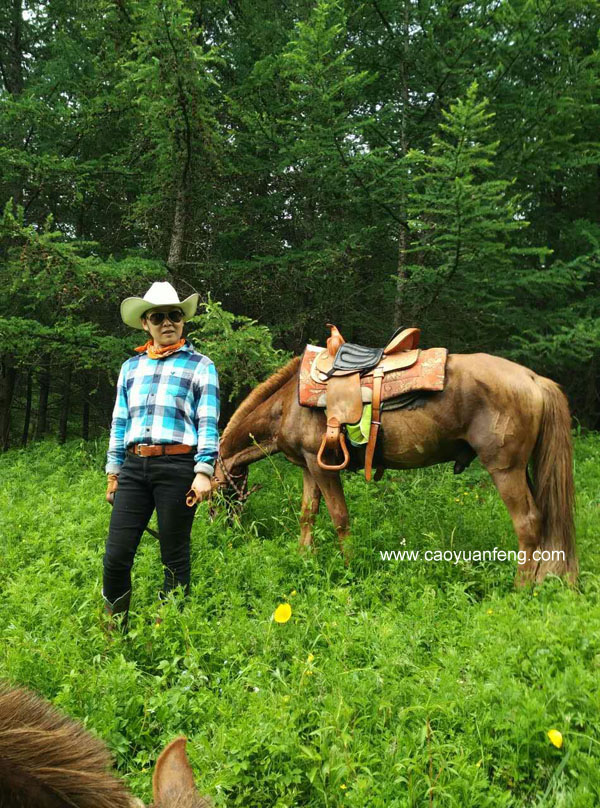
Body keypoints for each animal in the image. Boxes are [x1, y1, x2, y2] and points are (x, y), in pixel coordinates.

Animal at [214, 350, 576, 584]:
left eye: (216, 494)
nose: (221, 528)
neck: (288, 401)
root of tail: (533, 378)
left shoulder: (323, 466)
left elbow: (340, 518)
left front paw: (349, 568)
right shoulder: (308, 467)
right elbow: (307, 515)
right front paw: (305, 559)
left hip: (504, 469)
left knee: (528, 524)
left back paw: (520, 590)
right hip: (523, 471)